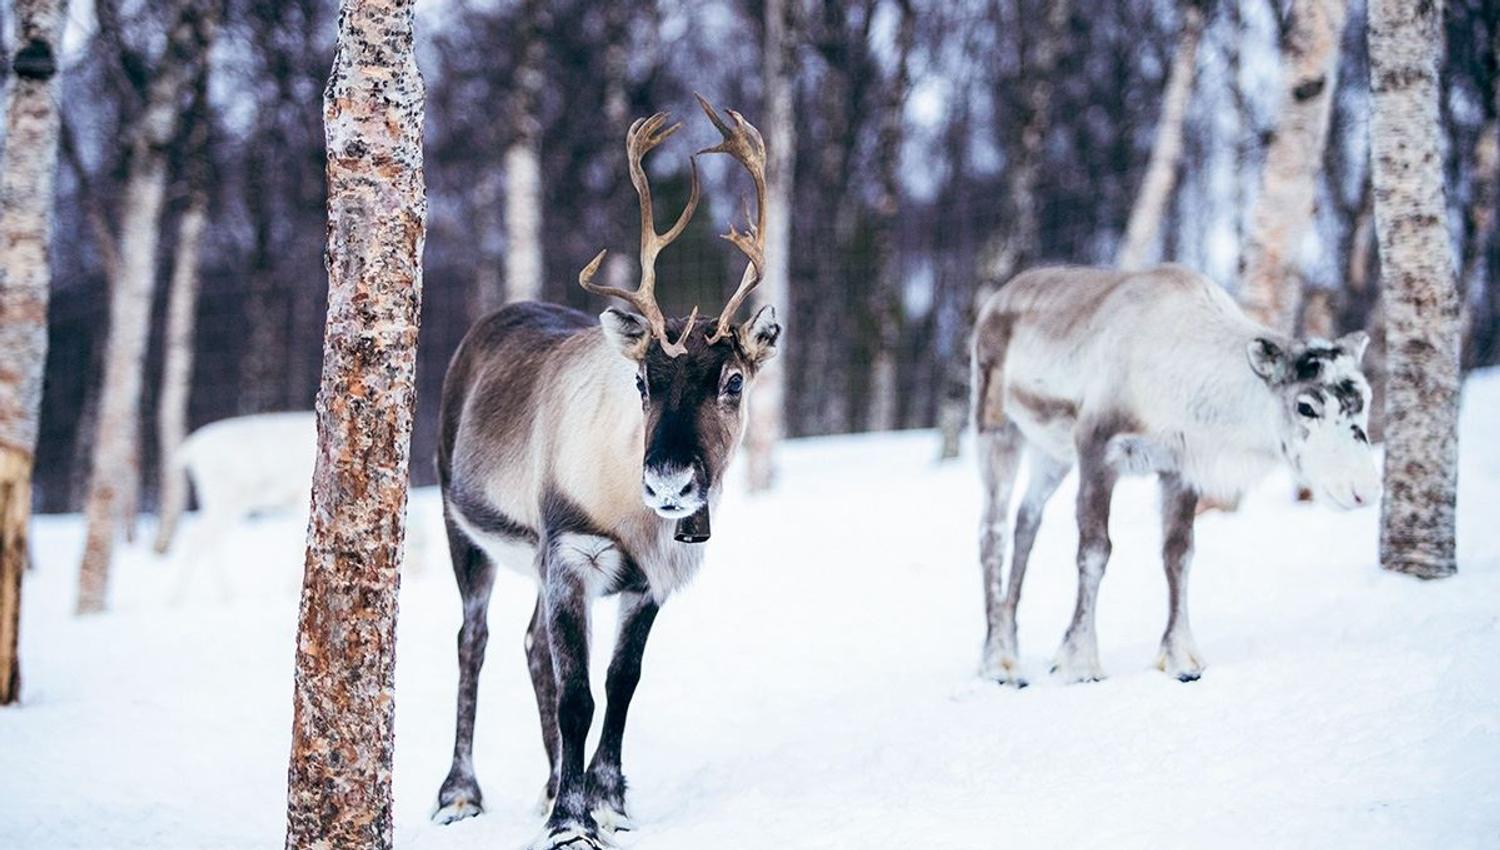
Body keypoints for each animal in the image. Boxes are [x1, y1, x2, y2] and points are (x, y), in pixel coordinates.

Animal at [430, 96, 780, 850]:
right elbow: (579, 696)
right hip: (462, 527)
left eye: (734, 380)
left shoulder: (650, 583)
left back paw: (545, 784)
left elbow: (620, 683)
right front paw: (571, 820)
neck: (633, 515)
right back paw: (460, 792)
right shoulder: (570, 555)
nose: (671, 483)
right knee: (475, 639)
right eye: (644, 382)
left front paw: (606, 800)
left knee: (532, 647)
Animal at [971, 264, 1380, 687]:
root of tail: (996, 299)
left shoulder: (1179, 470)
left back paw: (1011, 645)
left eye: (1365, 399)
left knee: (1027, 519)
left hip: (1051, 454)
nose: (1364, 490)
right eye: (1306, 406)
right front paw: (1079, 662)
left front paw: (1181, 658)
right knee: (992, 530)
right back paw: (998, 661)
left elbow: (1178, 554)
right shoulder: (1097, 452)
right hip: (997, 429)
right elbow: (1095, 551)